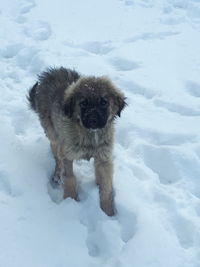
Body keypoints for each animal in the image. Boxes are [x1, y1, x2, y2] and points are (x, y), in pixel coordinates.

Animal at [27, 68, 126, 217]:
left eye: (104, 102)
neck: (90, 135)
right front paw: (71, 199)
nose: (93, 119)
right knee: (57, 157)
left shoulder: (104, 157)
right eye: (83, 103)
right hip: (53, 134)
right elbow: (70, 178)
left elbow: (106, 186)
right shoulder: (67, 154)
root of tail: (49, 73)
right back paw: (57, 176)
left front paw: (107, 211)